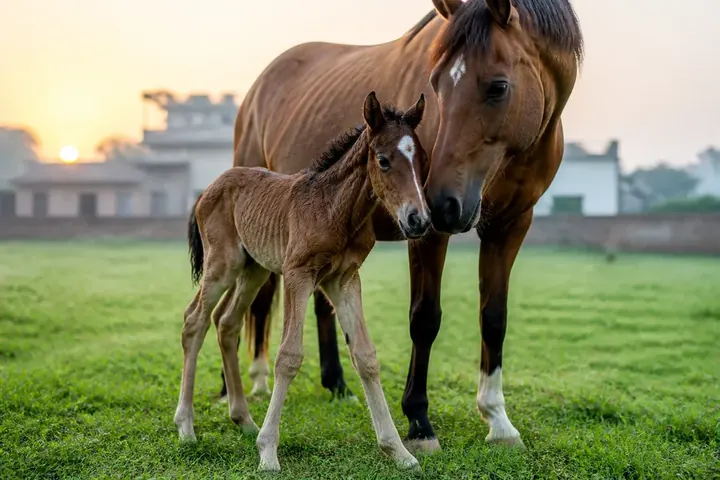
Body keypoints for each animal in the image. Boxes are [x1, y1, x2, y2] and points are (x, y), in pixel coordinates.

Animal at [174, 92, 430, 472]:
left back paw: (244, 420)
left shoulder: (345, 279)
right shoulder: (298, 274)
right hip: (223, 264)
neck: (335, 209)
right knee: (195, 320)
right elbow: (289, 356)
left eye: (421, 159)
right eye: (383, 160)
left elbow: (366, 356)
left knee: (227, 322)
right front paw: (268, 452)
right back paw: (186, 427)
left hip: (254, 269)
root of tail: (207, 190)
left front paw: (398, 451)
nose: (419, 220)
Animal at [220, 0, 583, 453]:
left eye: (498, 87)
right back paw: (239, 387)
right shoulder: (428, 234)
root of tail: (258, 87)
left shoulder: (510, 226)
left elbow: (494, 318)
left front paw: (498, 420)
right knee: (248, 301)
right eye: (436, 84)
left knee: (316, 303)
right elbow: (425, 318)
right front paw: (419, 421)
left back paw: (336, 384)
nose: (441, 202)